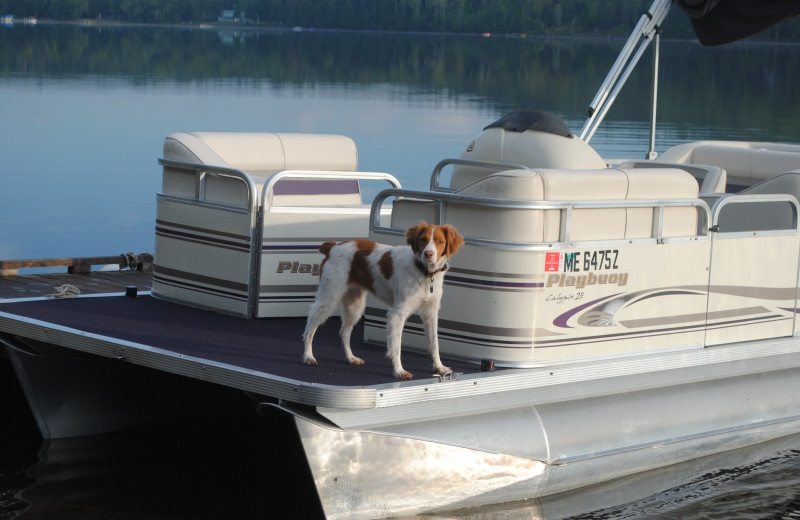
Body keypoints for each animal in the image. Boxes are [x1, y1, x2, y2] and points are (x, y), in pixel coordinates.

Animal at [302, 221, 466, 380]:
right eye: (422, 239)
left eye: (440, 241)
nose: (428, 254)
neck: (424, 272)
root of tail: (333, 246)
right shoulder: (398, 314)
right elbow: (396, 346)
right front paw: (399, 370)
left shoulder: (431, 313)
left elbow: (434, 343)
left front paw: (439, 367)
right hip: (329, 298)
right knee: (309, 328)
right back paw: (308, 356)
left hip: (355, 305)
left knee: (343, 332)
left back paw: (351, 358)